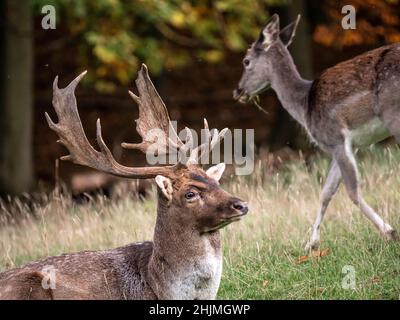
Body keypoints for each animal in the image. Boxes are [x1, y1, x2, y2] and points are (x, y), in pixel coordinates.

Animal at [233, 14, 398, 250]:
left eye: (246, 61)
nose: (237, 91)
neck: (304, 106)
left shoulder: (334, 137)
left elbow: (352, 191)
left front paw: (389, 231)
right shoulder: (345, 145)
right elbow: (325, 192)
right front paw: (310, 244)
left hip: (393, 113)